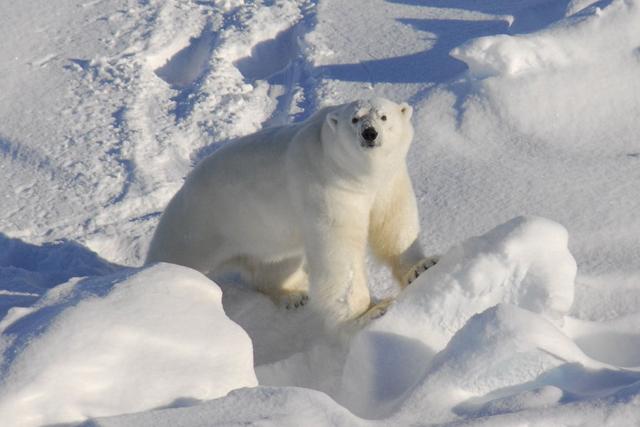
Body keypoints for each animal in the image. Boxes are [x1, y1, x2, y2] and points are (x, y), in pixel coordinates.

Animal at [146, 97, 438, 328]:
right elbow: (339, 252)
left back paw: (294, 295)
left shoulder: (389, 182)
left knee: (276, 262)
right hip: (198, 227)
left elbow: (394, 224)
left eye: (383, 115)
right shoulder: (327, 189)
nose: (369, 133)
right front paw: (370, 312)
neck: (356, 176)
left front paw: (421, 267)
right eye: (354, 119)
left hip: (262, 233)